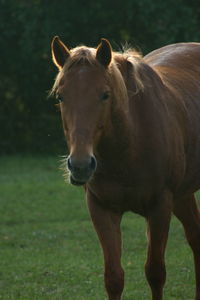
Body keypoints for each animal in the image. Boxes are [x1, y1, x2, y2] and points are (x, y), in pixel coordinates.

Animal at [50, 37, 200, 300]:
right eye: (60, 96)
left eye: (105, 95)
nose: (80, 165)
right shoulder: (101, 209)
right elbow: (113, 277)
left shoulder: (160, 207)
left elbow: (155, 272)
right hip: (183, 195)